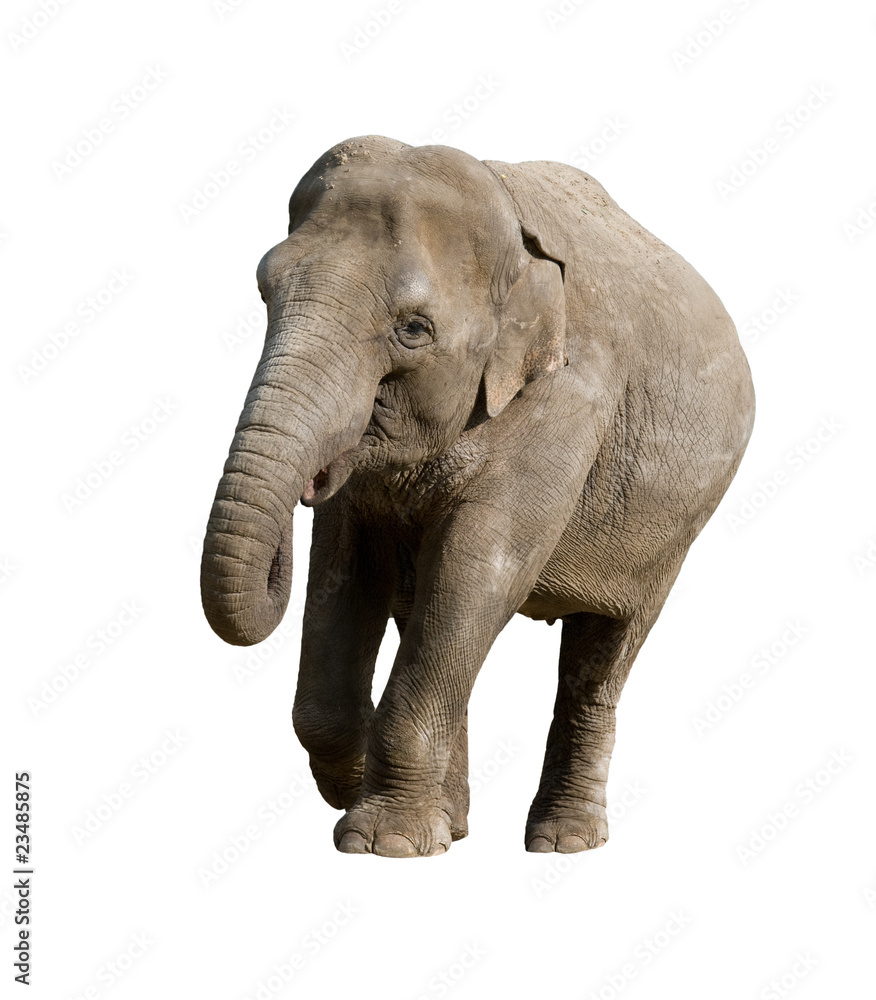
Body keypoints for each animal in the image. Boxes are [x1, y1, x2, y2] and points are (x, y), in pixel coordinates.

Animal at [201, 135, 755, 857]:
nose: (313, 481)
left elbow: (478, 568)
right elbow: (347, 567)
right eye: (266, 292)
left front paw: (382, 843)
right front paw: (380, 809)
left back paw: (563, 842)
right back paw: (456, 827)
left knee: (605, 650)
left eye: (413, 329)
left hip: (677, 526)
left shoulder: (565, 400)